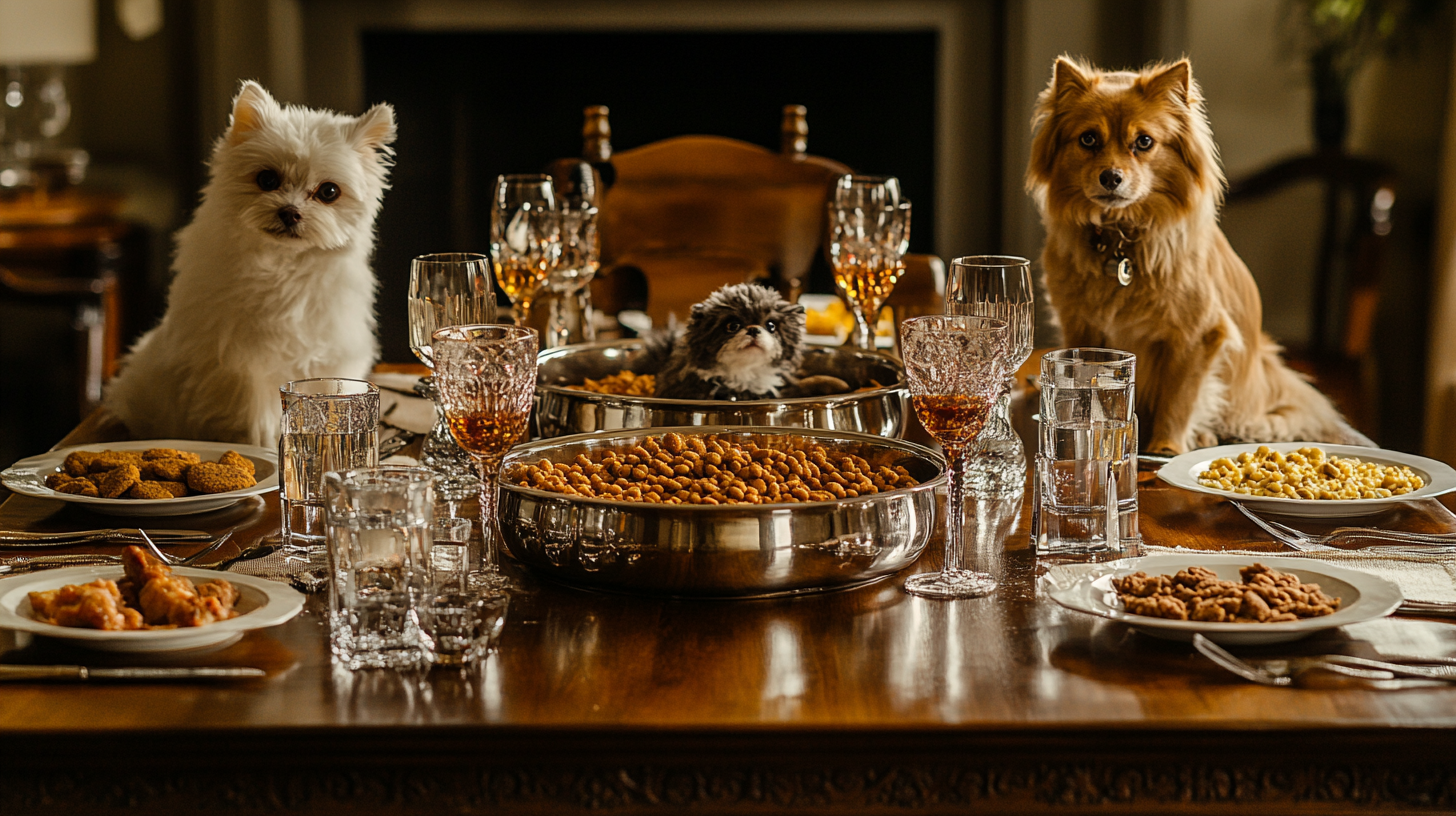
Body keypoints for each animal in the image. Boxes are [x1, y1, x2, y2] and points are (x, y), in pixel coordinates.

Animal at [106, 83, 398, 445]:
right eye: (267, 180)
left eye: (329, 192)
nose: (289, 212)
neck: (282, 264)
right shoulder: (240, 365)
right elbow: (255, 417)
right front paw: (262, 445)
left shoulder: (329, 355)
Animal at [1025, 56, 1362, 451]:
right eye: (1088, 139)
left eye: (1144, 142)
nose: (1111, 177)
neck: (1122, 237)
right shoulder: (1081, 326)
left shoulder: (1197, 336)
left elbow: (1179, 399)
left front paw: (1165, 449)